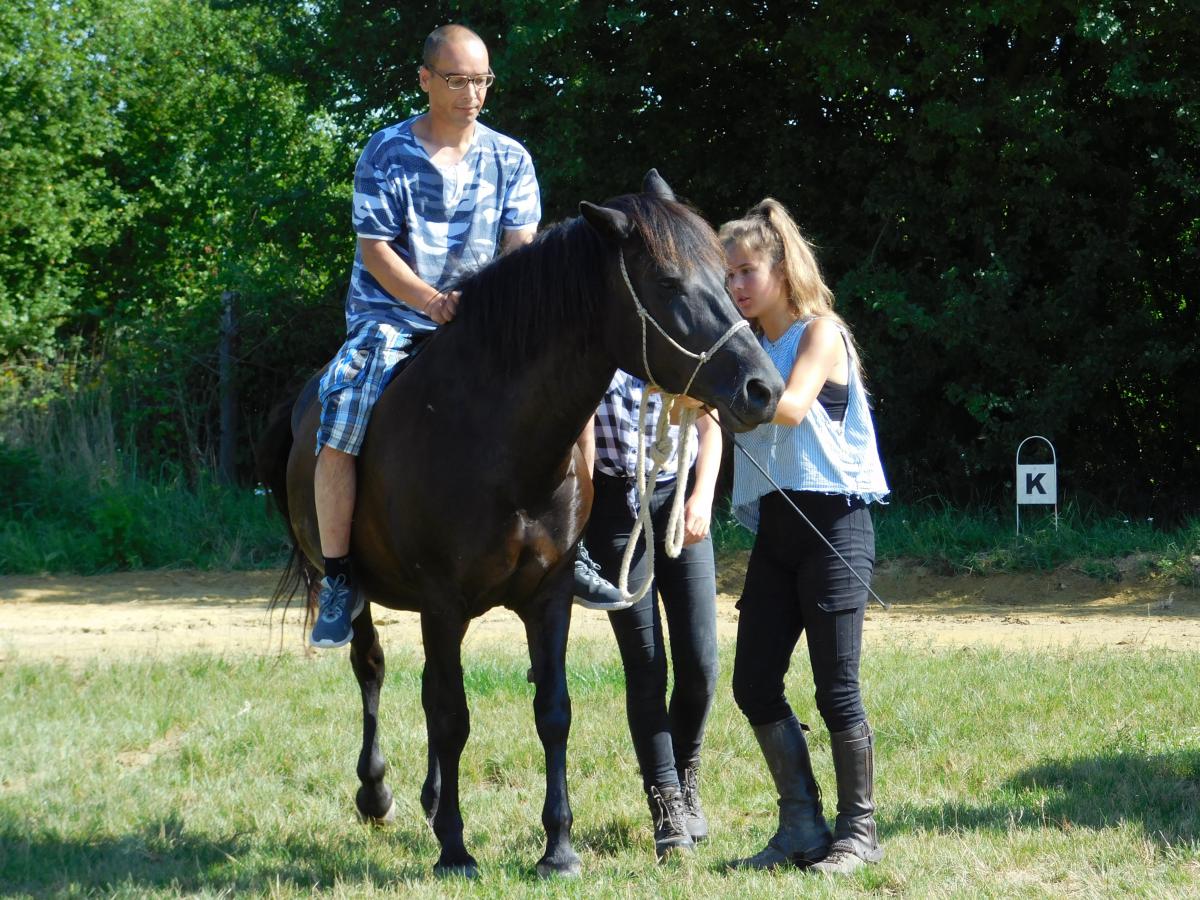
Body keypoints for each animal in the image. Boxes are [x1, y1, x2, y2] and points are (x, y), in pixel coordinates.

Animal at [261, 170, 784, 878]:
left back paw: (429, 798)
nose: (763, 389)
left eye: (727, 278)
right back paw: (377, 792)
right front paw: (455, 850)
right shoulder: (442, 602)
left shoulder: (548, 596)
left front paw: (557, 847)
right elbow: (451, 716)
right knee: (371, 668)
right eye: (670, 284)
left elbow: (550, 711)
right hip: (360, 587)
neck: (493, 436)